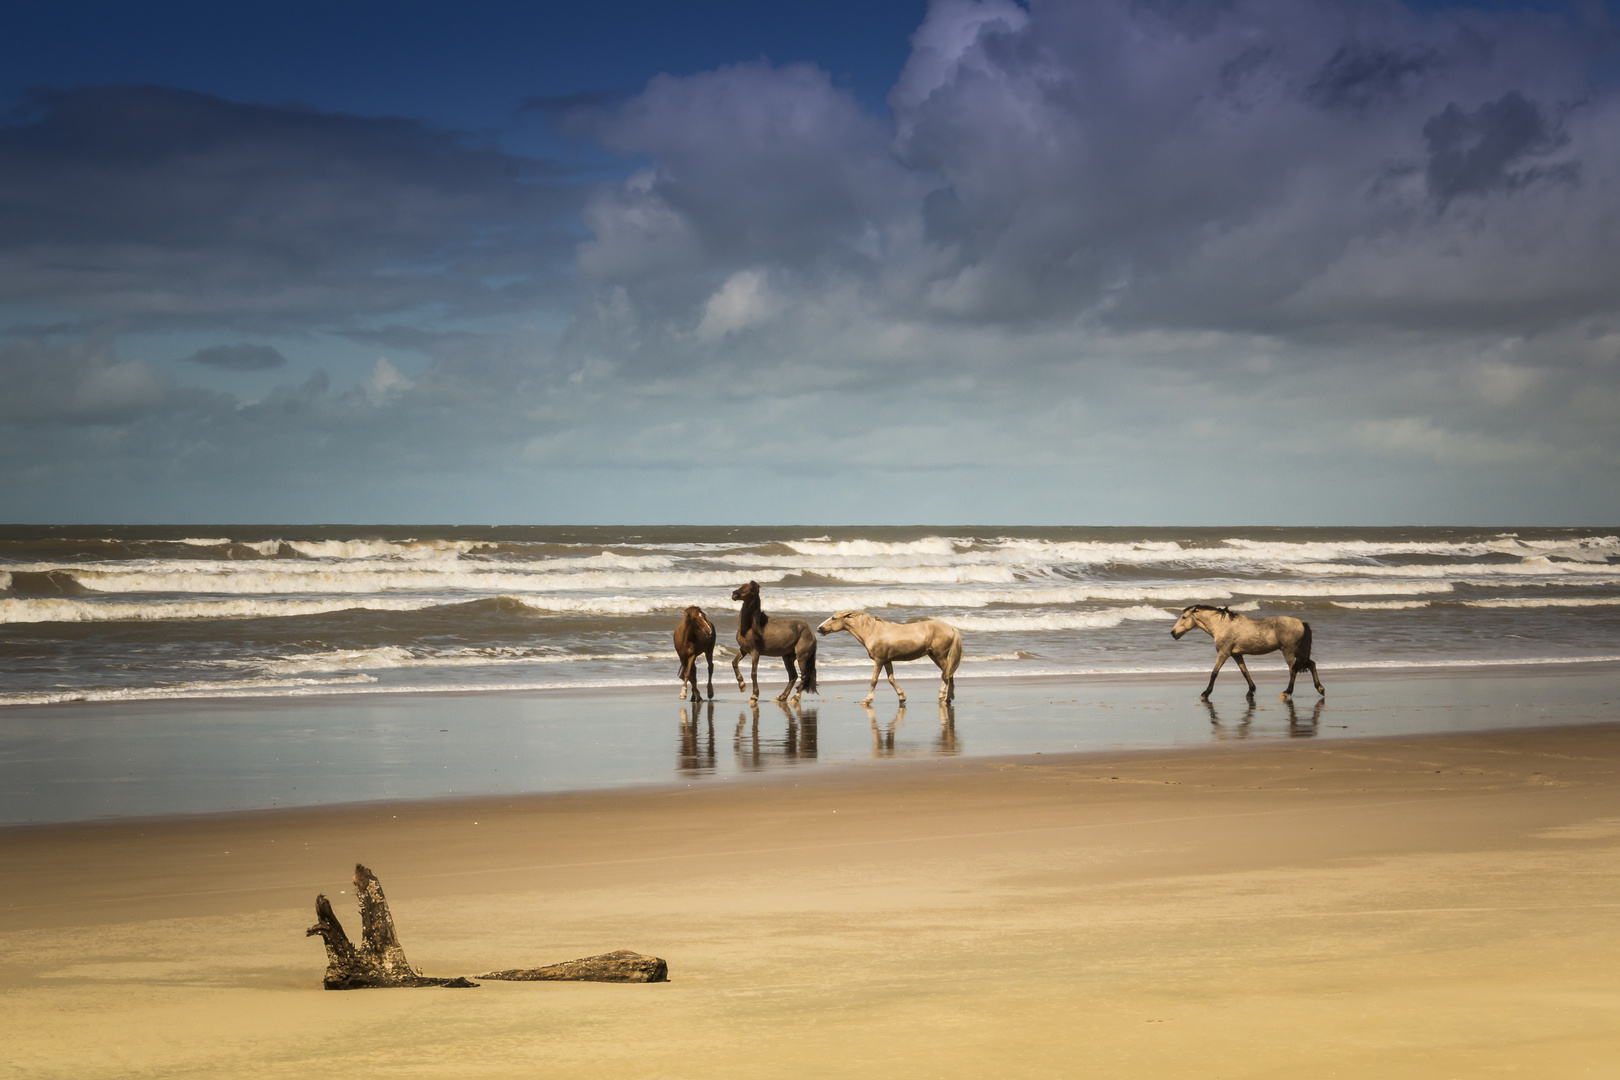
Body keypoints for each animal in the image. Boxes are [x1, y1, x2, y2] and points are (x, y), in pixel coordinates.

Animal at [810, 612, 959, 705]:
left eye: (834, 618)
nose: (819, 628)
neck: (873, 632)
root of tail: (952, 628)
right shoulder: (887, 661)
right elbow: (891, 679)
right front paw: (902, 697)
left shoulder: (879, 660)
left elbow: (874, 680)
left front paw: (867, 700)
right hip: (934, 656)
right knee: (948, 674)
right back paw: (947, 697)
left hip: (940, 656)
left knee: (947, 674)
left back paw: (944, 696)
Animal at [1172, 605, 1321, 705]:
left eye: (1184, 617)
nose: (1173, 633)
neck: (1222, 625)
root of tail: (1301, 623)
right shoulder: (1236, 655)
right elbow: (1245, 672)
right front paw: (1251, 691)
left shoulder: (1223, 653)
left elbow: (1214, 673)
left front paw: (1205, 693)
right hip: (1297, 653)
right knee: (1311, 664)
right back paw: (1320, 688)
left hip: (1288, 652)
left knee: (1293, 670)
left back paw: (1287, 692)